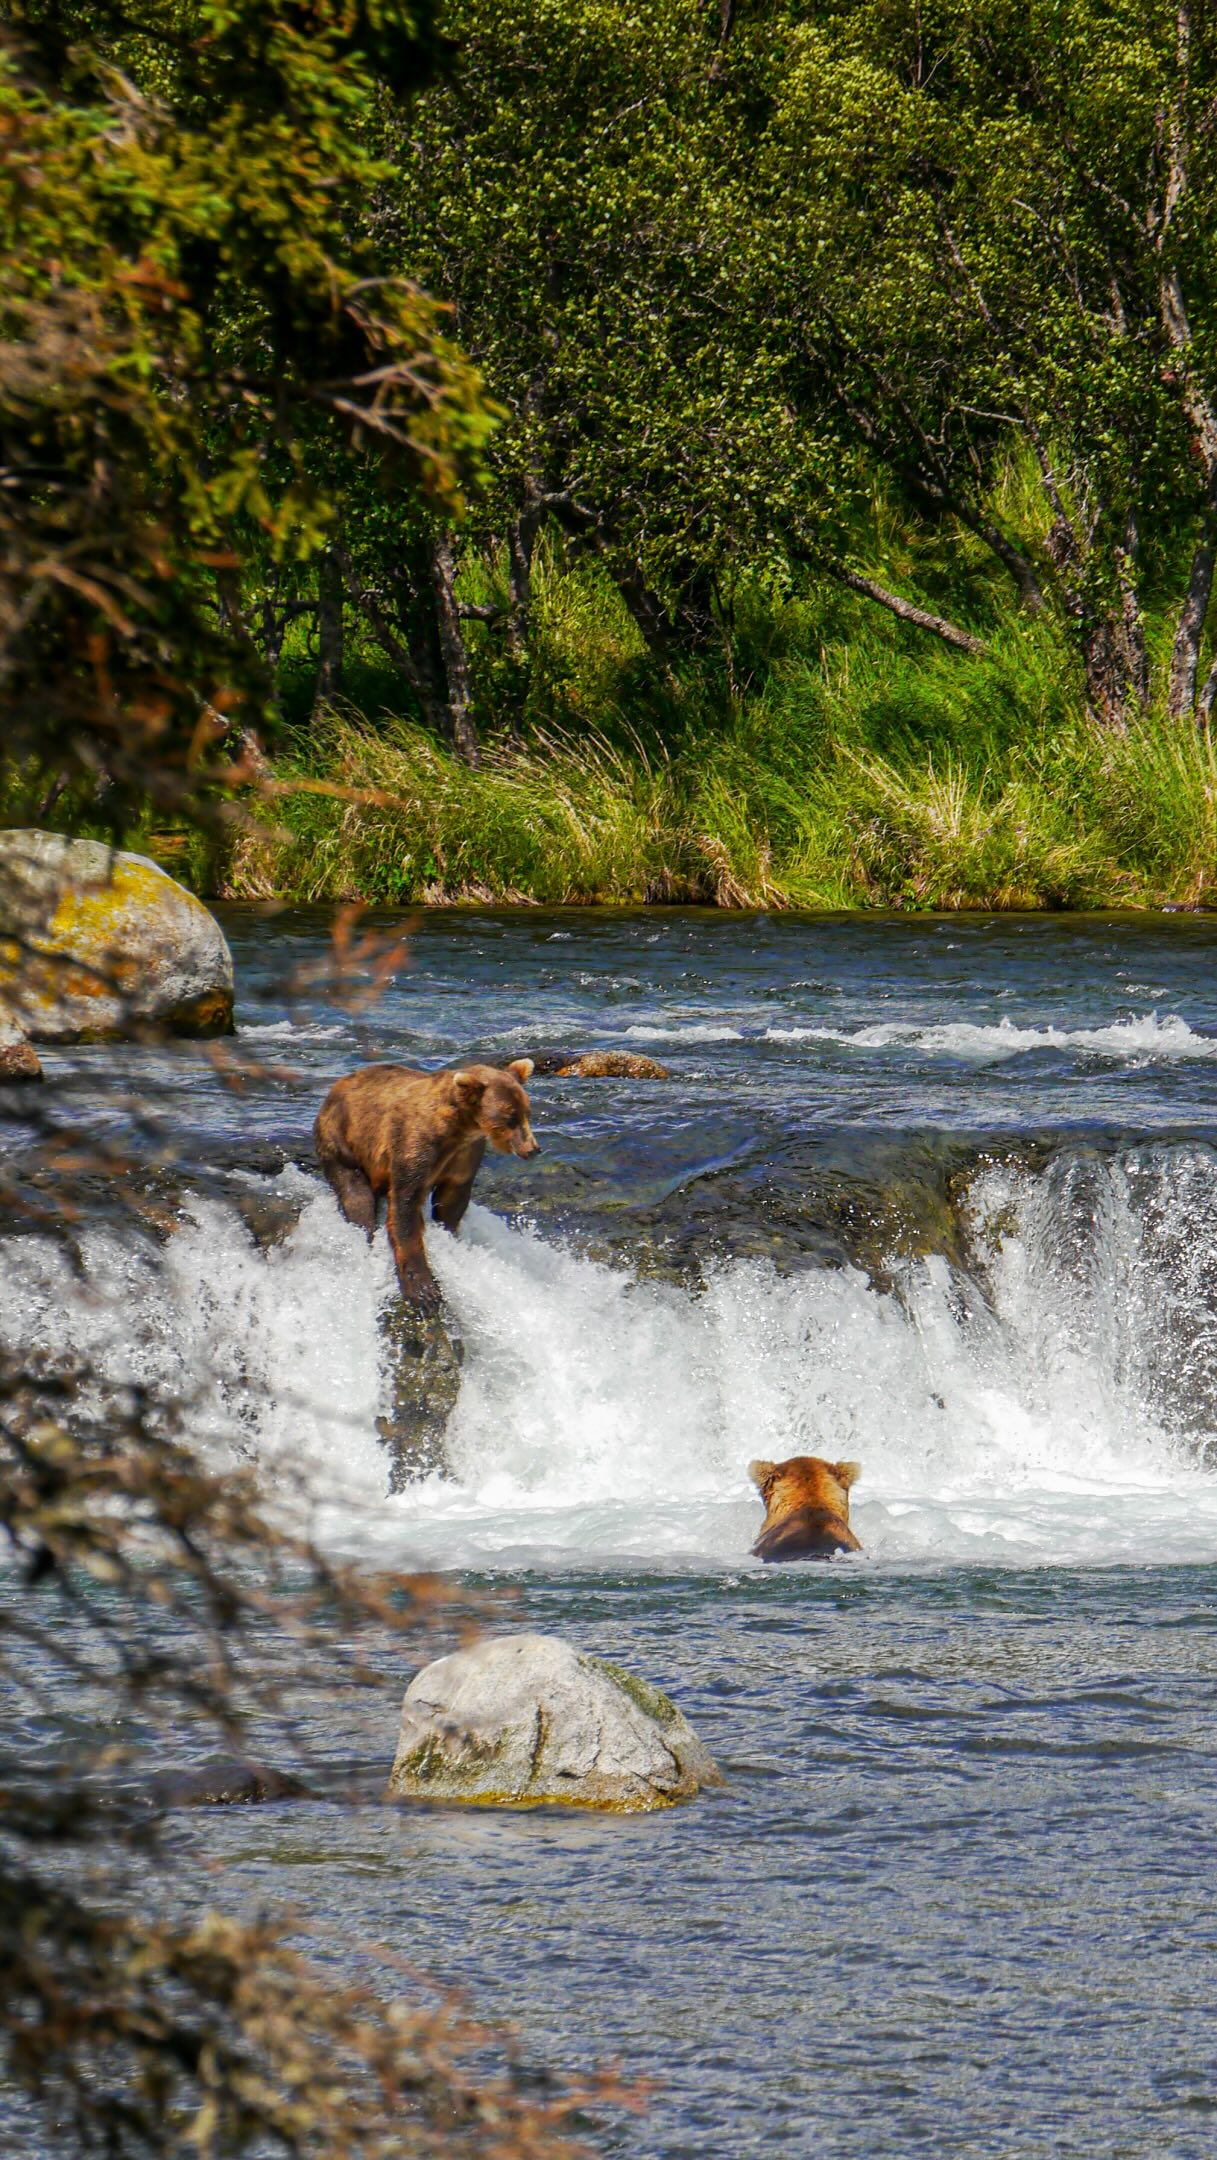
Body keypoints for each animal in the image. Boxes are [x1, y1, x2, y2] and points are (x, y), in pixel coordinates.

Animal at [314, 1058, 539, 1313]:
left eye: (527, 1112)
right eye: (510, 1116)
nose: (533, 1149)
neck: (459, 1128)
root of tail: (336, 1086)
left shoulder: (464, 1157)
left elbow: (451, 1201)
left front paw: (450, 1234)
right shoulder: (415, 1147)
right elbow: (405, 1207)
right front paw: (425, 1291)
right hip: (341, 1140)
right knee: (356, 1196)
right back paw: (365, 1230)